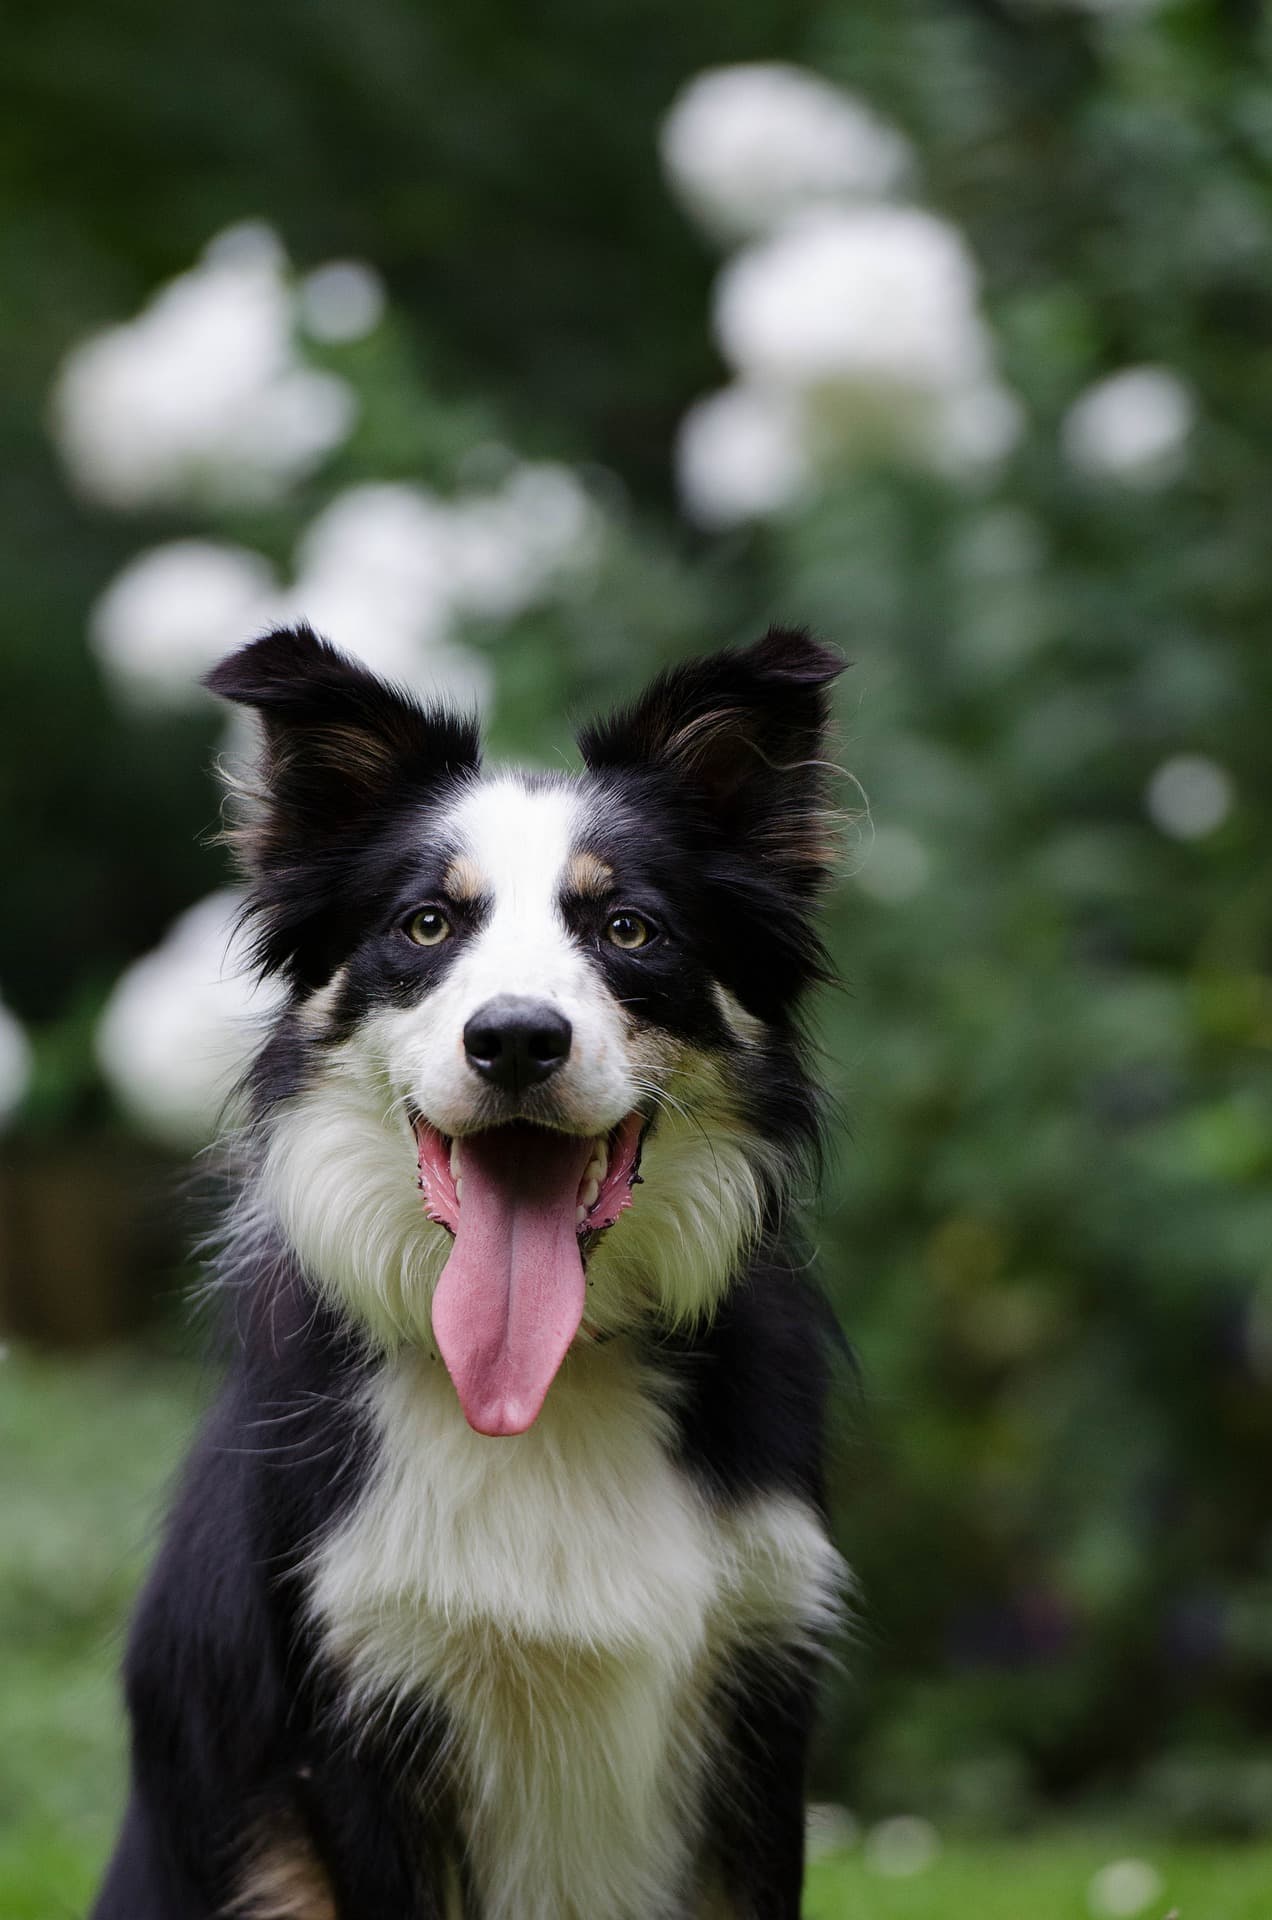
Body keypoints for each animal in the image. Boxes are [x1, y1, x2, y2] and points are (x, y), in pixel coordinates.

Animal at [89, 622, 845, 1912]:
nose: (517, 1041)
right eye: (428, 926)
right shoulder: (352, 1713)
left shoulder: (761, 1687)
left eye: (628, 929)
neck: (546, 1390)